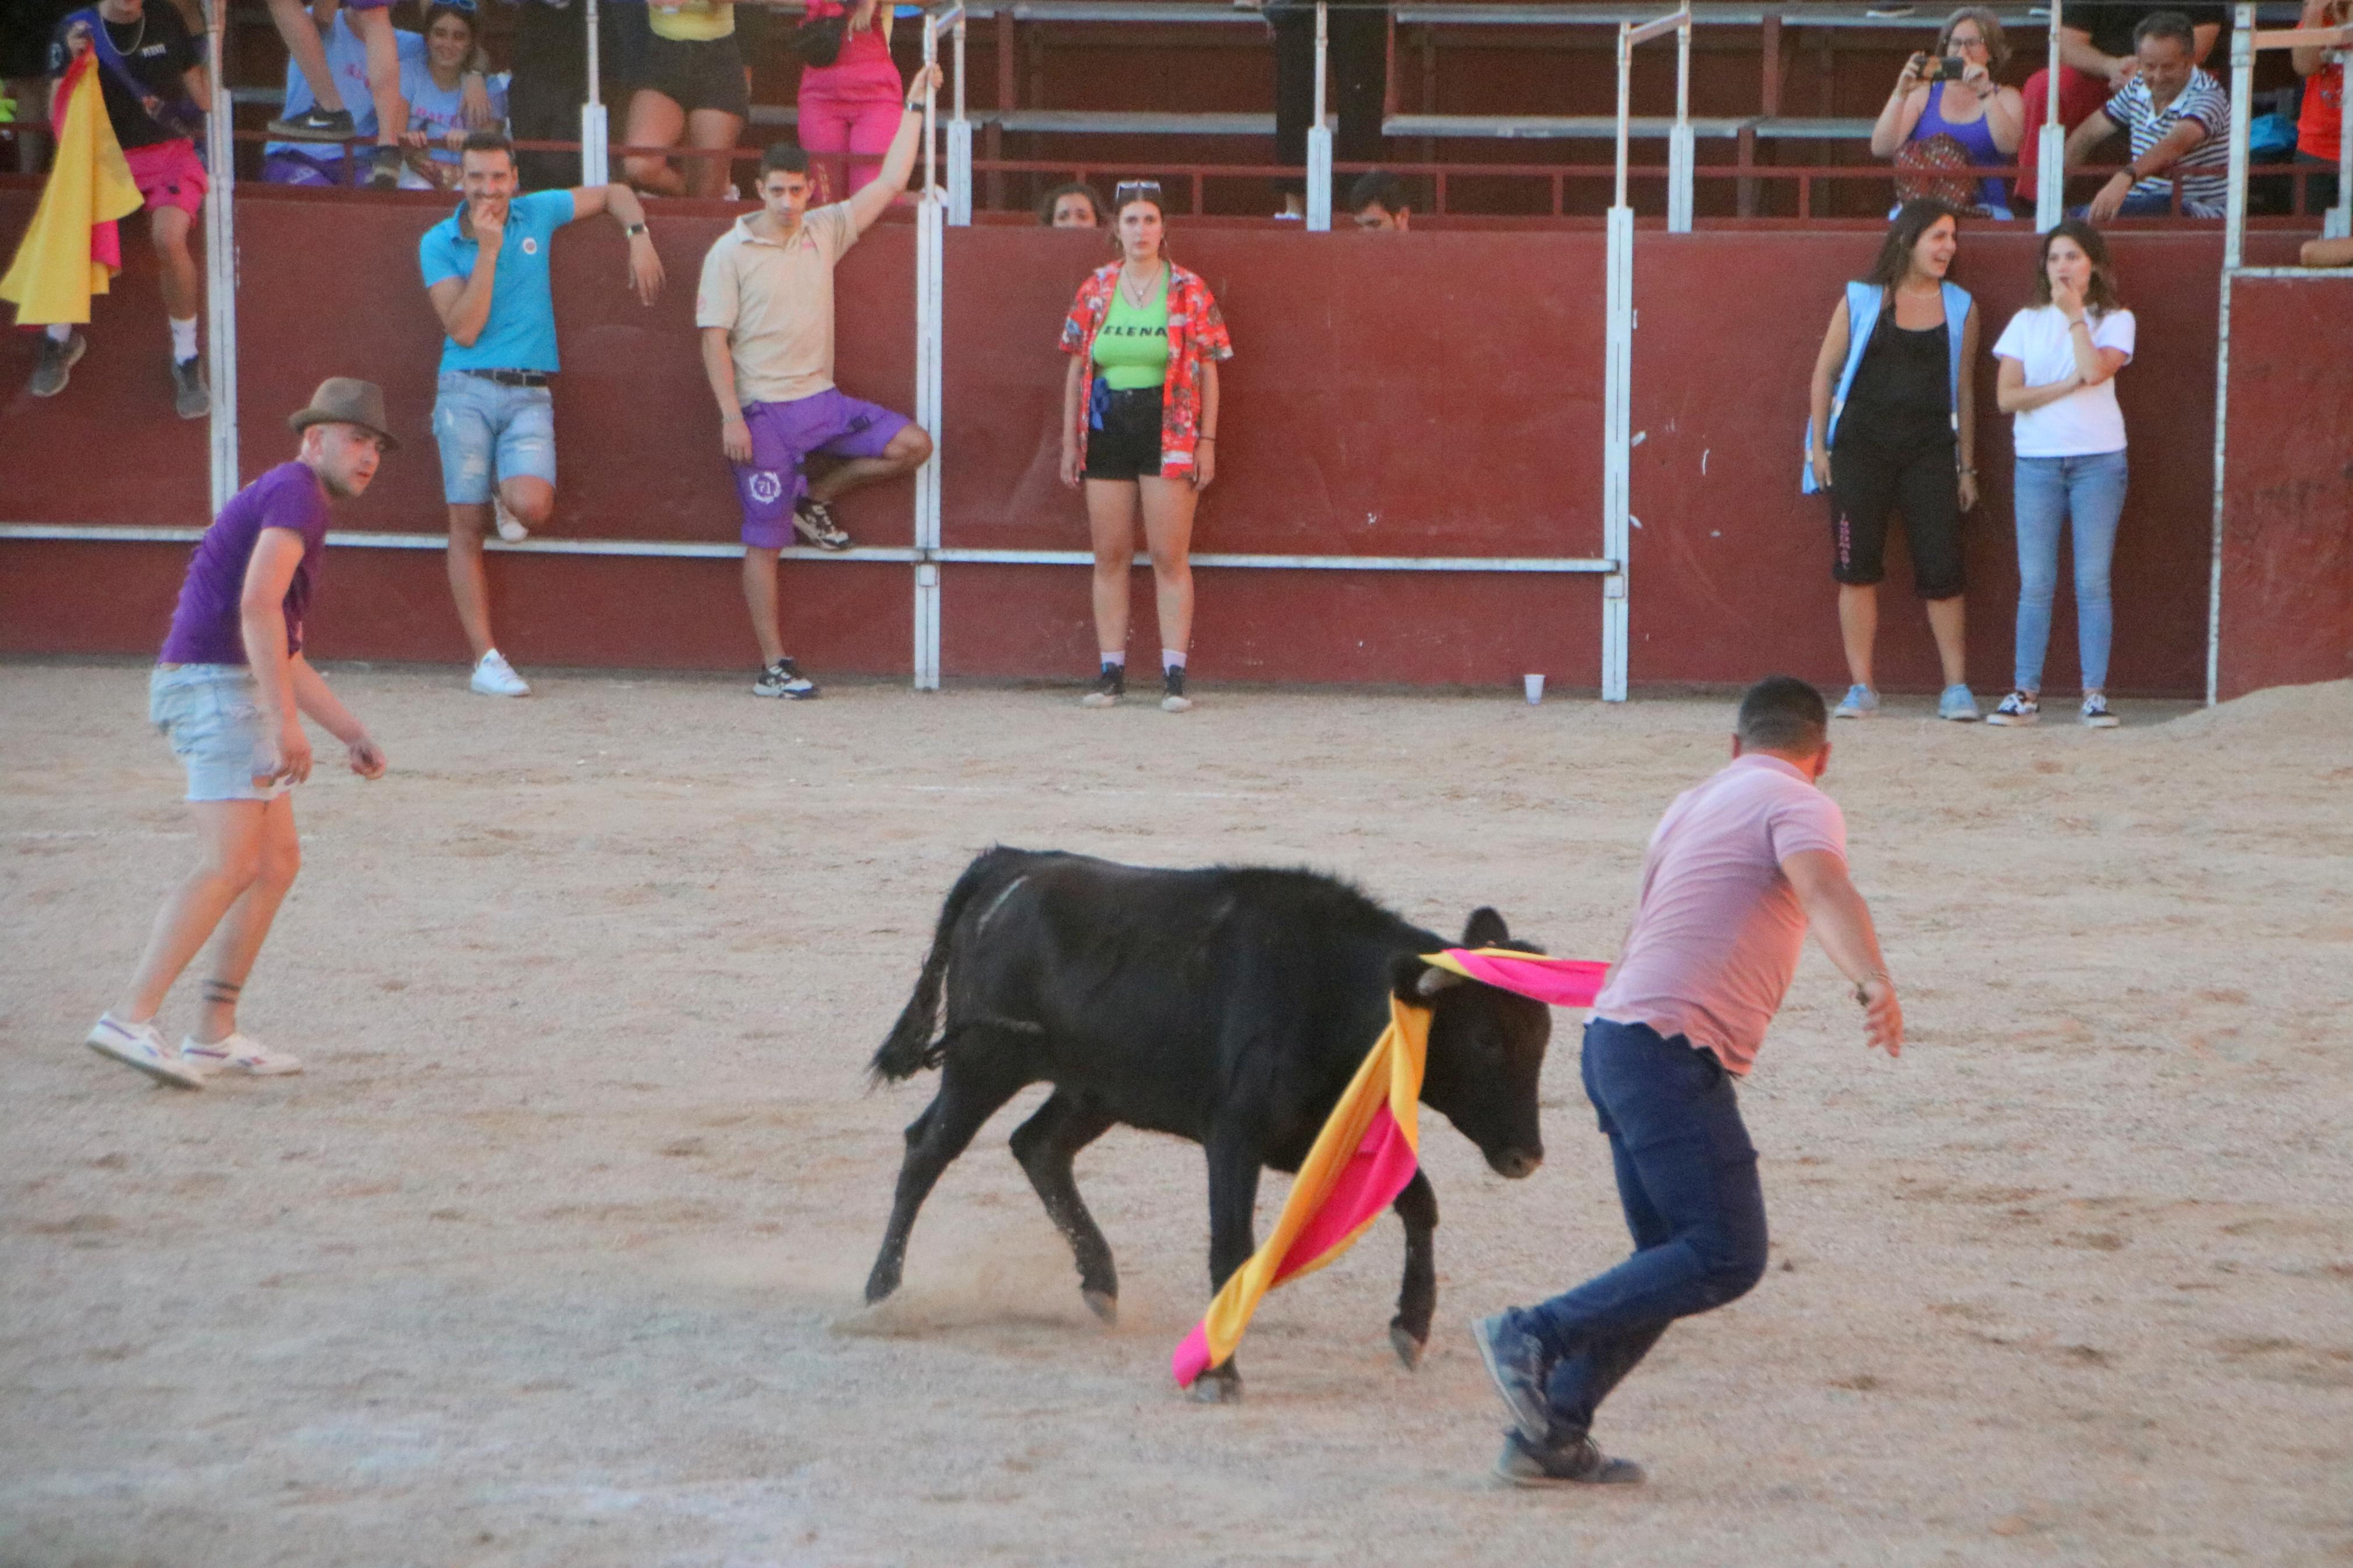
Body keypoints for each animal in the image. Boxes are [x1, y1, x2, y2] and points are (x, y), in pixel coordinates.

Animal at [856, 846, 1553, 1401]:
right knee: (927, 1150)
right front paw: (1219, 1373)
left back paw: (1100, 1284)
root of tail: (1013, 864)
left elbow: (1418, 1200)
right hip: (984, 1063)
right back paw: (882, 1289)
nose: (1526, 1156)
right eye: (1486, 1038)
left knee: (1037, 1146)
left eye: (1542, 1037)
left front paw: (1411, 1328)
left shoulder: (1310, 1136)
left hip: (1094, 1089)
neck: (1329, 986)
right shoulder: (1235, 1137)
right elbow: (1231, 1247)